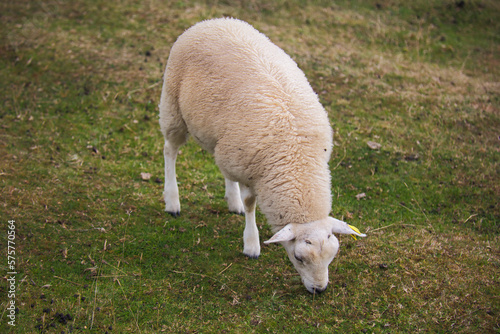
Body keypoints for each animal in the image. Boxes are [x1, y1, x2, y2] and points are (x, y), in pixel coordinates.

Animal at [160, 18, 368, 294]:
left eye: (332, 257)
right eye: (299, 258)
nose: (319, 290)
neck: (297, 159)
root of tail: (213, 21)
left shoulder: (244, 159)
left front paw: (238, 207)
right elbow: (251, 204)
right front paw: (251, 244)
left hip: (225, 140)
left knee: (223, 165)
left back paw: (232, 200)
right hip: (172, 105)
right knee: (170, 151)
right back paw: (172, 201)